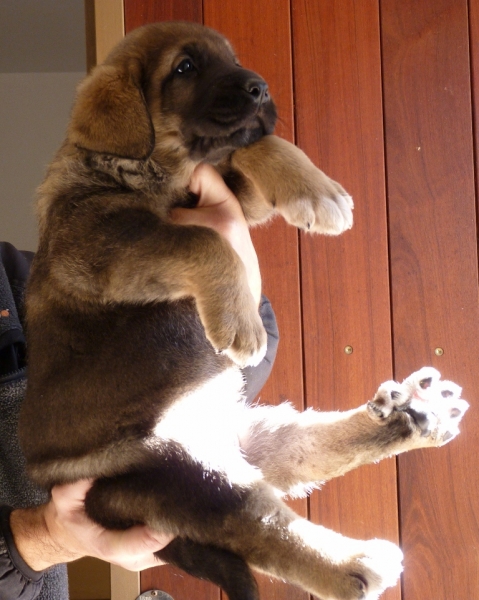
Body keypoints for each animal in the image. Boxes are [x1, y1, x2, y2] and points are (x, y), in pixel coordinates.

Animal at [19, 22, 468, 600]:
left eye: (231, 60)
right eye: (185, 67)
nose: (260, 88)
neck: (157, 162)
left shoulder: (235, 192)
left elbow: (255, 146)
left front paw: (316, 192)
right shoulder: (98, 243)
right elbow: (203, 241)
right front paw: (240, 321)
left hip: (253, 432)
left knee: (306, 450)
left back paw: (415, 415)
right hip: (182, 471)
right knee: (261, 527)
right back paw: (354, 563)